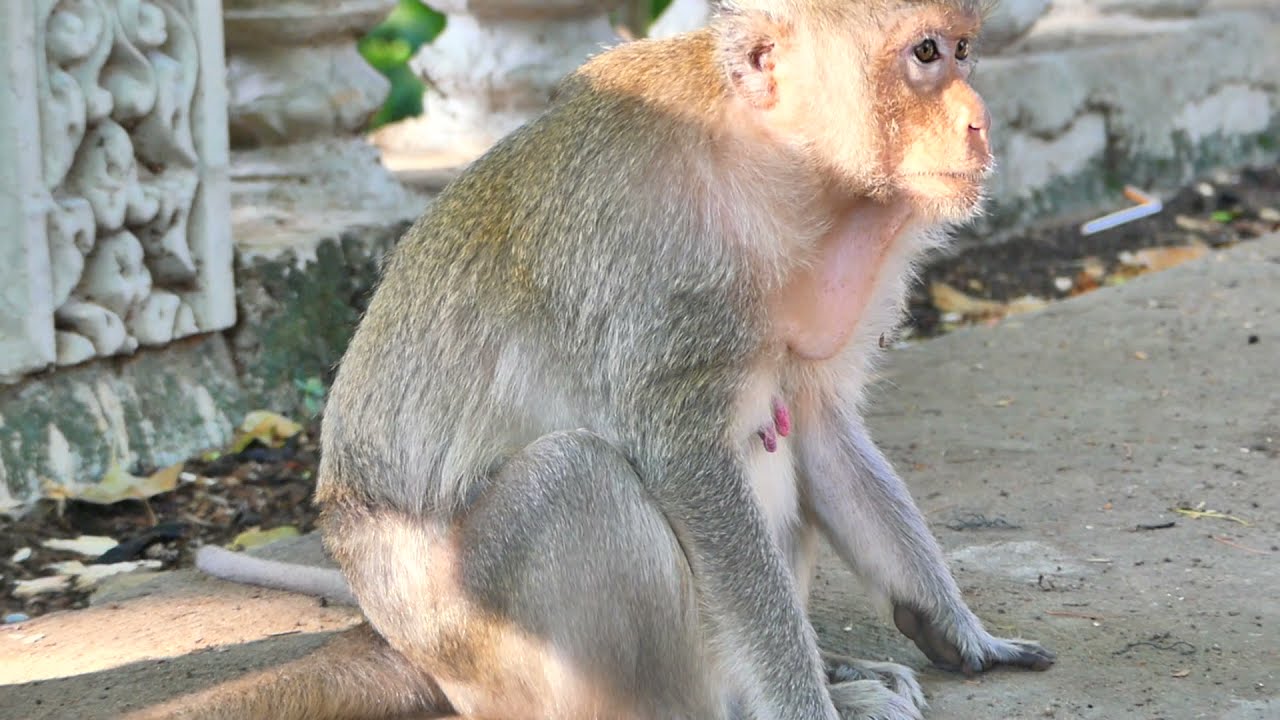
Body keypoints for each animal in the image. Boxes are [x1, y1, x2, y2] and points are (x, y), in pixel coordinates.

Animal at [129, 1, 1055, 718]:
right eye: (924, 54)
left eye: (961, 48)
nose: (978, 121)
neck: (779, 171)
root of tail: (396, 640)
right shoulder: (671, 270)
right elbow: (687, 463)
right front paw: (805, 705)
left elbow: (819, 426)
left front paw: (954, 628)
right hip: (483, 646)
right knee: (573, 476)